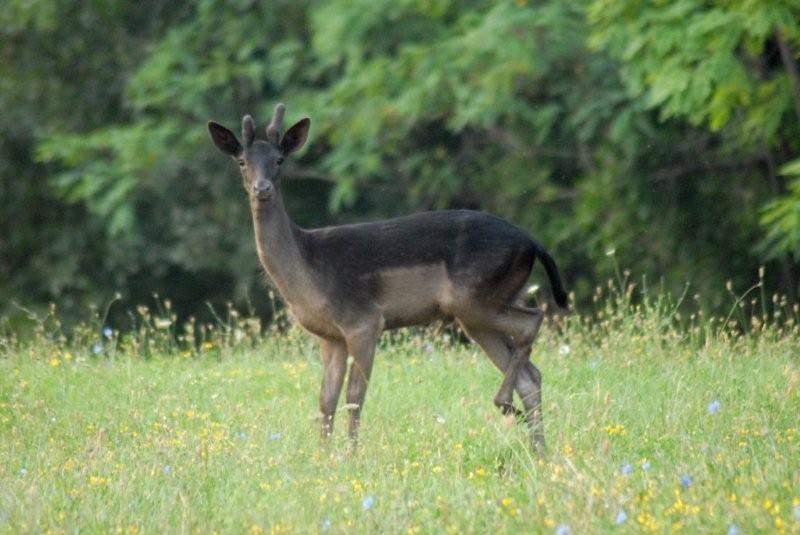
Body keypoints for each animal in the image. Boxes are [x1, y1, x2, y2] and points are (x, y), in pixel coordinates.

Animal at [208, 103, 568, 452]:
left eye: (279, 160)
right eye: (242, 161)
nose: (262, 188)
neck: (307, 269)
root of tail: (532, 242)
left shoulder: (363, 320)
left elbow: (354, 396)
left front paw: (351, 456)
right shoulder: (330, 336)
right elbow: (326, 399)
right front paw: (322, 457)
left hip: (475, 297)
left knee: (533, 320)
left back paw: (507, 407)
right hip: (479, 313)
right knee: (530, 375)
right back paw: (539, 450)